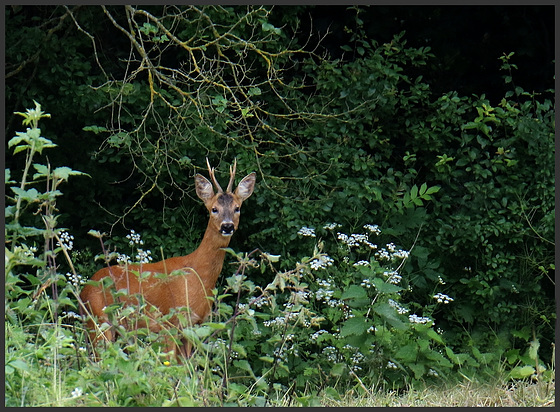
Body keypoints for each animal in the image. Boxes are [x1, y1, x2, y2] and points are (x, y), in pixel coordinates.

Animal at [80, 159, 258, 358]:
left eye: (237, 208)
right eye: (214, 209)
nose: (227, 226)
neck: (198, 275)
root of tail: (83, 291)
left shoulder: (193, 325)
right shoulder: (169, 323)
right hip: (99, 320)